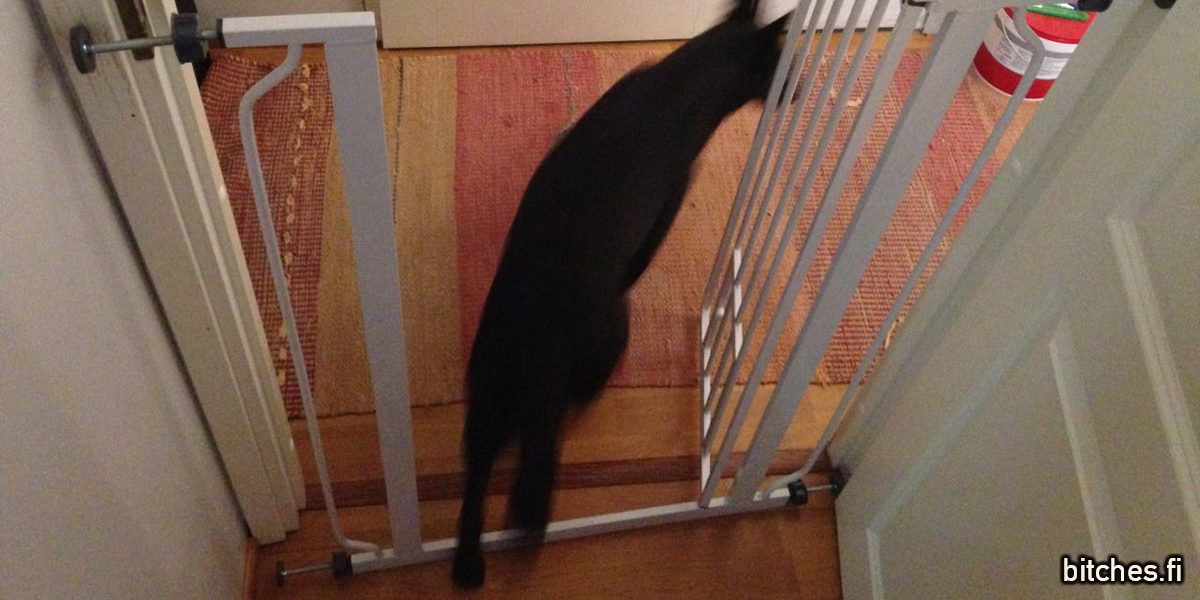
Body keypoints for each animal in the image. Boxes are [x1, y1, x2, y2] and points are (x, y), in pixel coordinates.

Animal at [452, 0, 788, 588]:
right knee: (557, 421)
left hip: (488, 387)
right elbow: (640, 261)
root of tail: (536, 357)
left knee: (478, 471)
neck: (687, 79)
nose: (799, 88)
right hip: (606, 339)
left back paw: (469, 565)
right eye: (779, 64)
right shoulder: (670, 202)